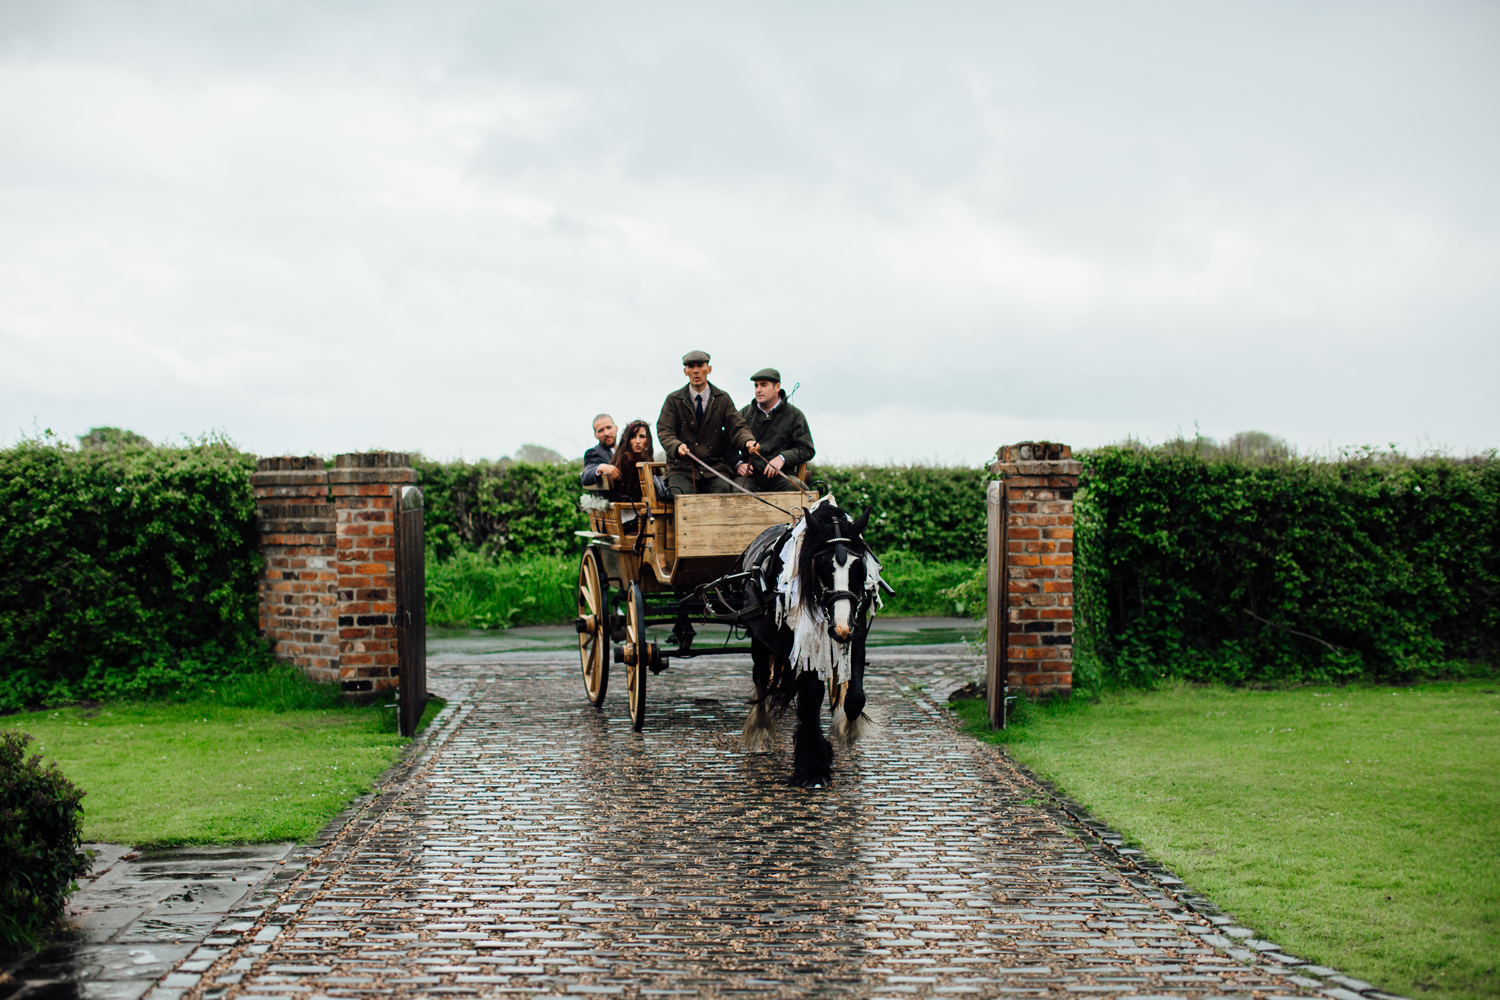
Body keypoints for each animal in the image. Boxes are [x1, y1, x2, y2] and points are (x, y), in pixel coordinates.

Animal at [735, 500, 882, 791]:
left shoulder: (857, 634)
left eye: (859, 567)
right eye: (820, 564)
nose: (841, 628)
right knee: (761, 681)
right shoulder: (803, 647)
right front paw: (813, 767)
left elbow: (855, 697)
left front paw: (848, 729)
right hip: (760, 641)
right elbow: (810, 699)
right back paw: (760, 731)